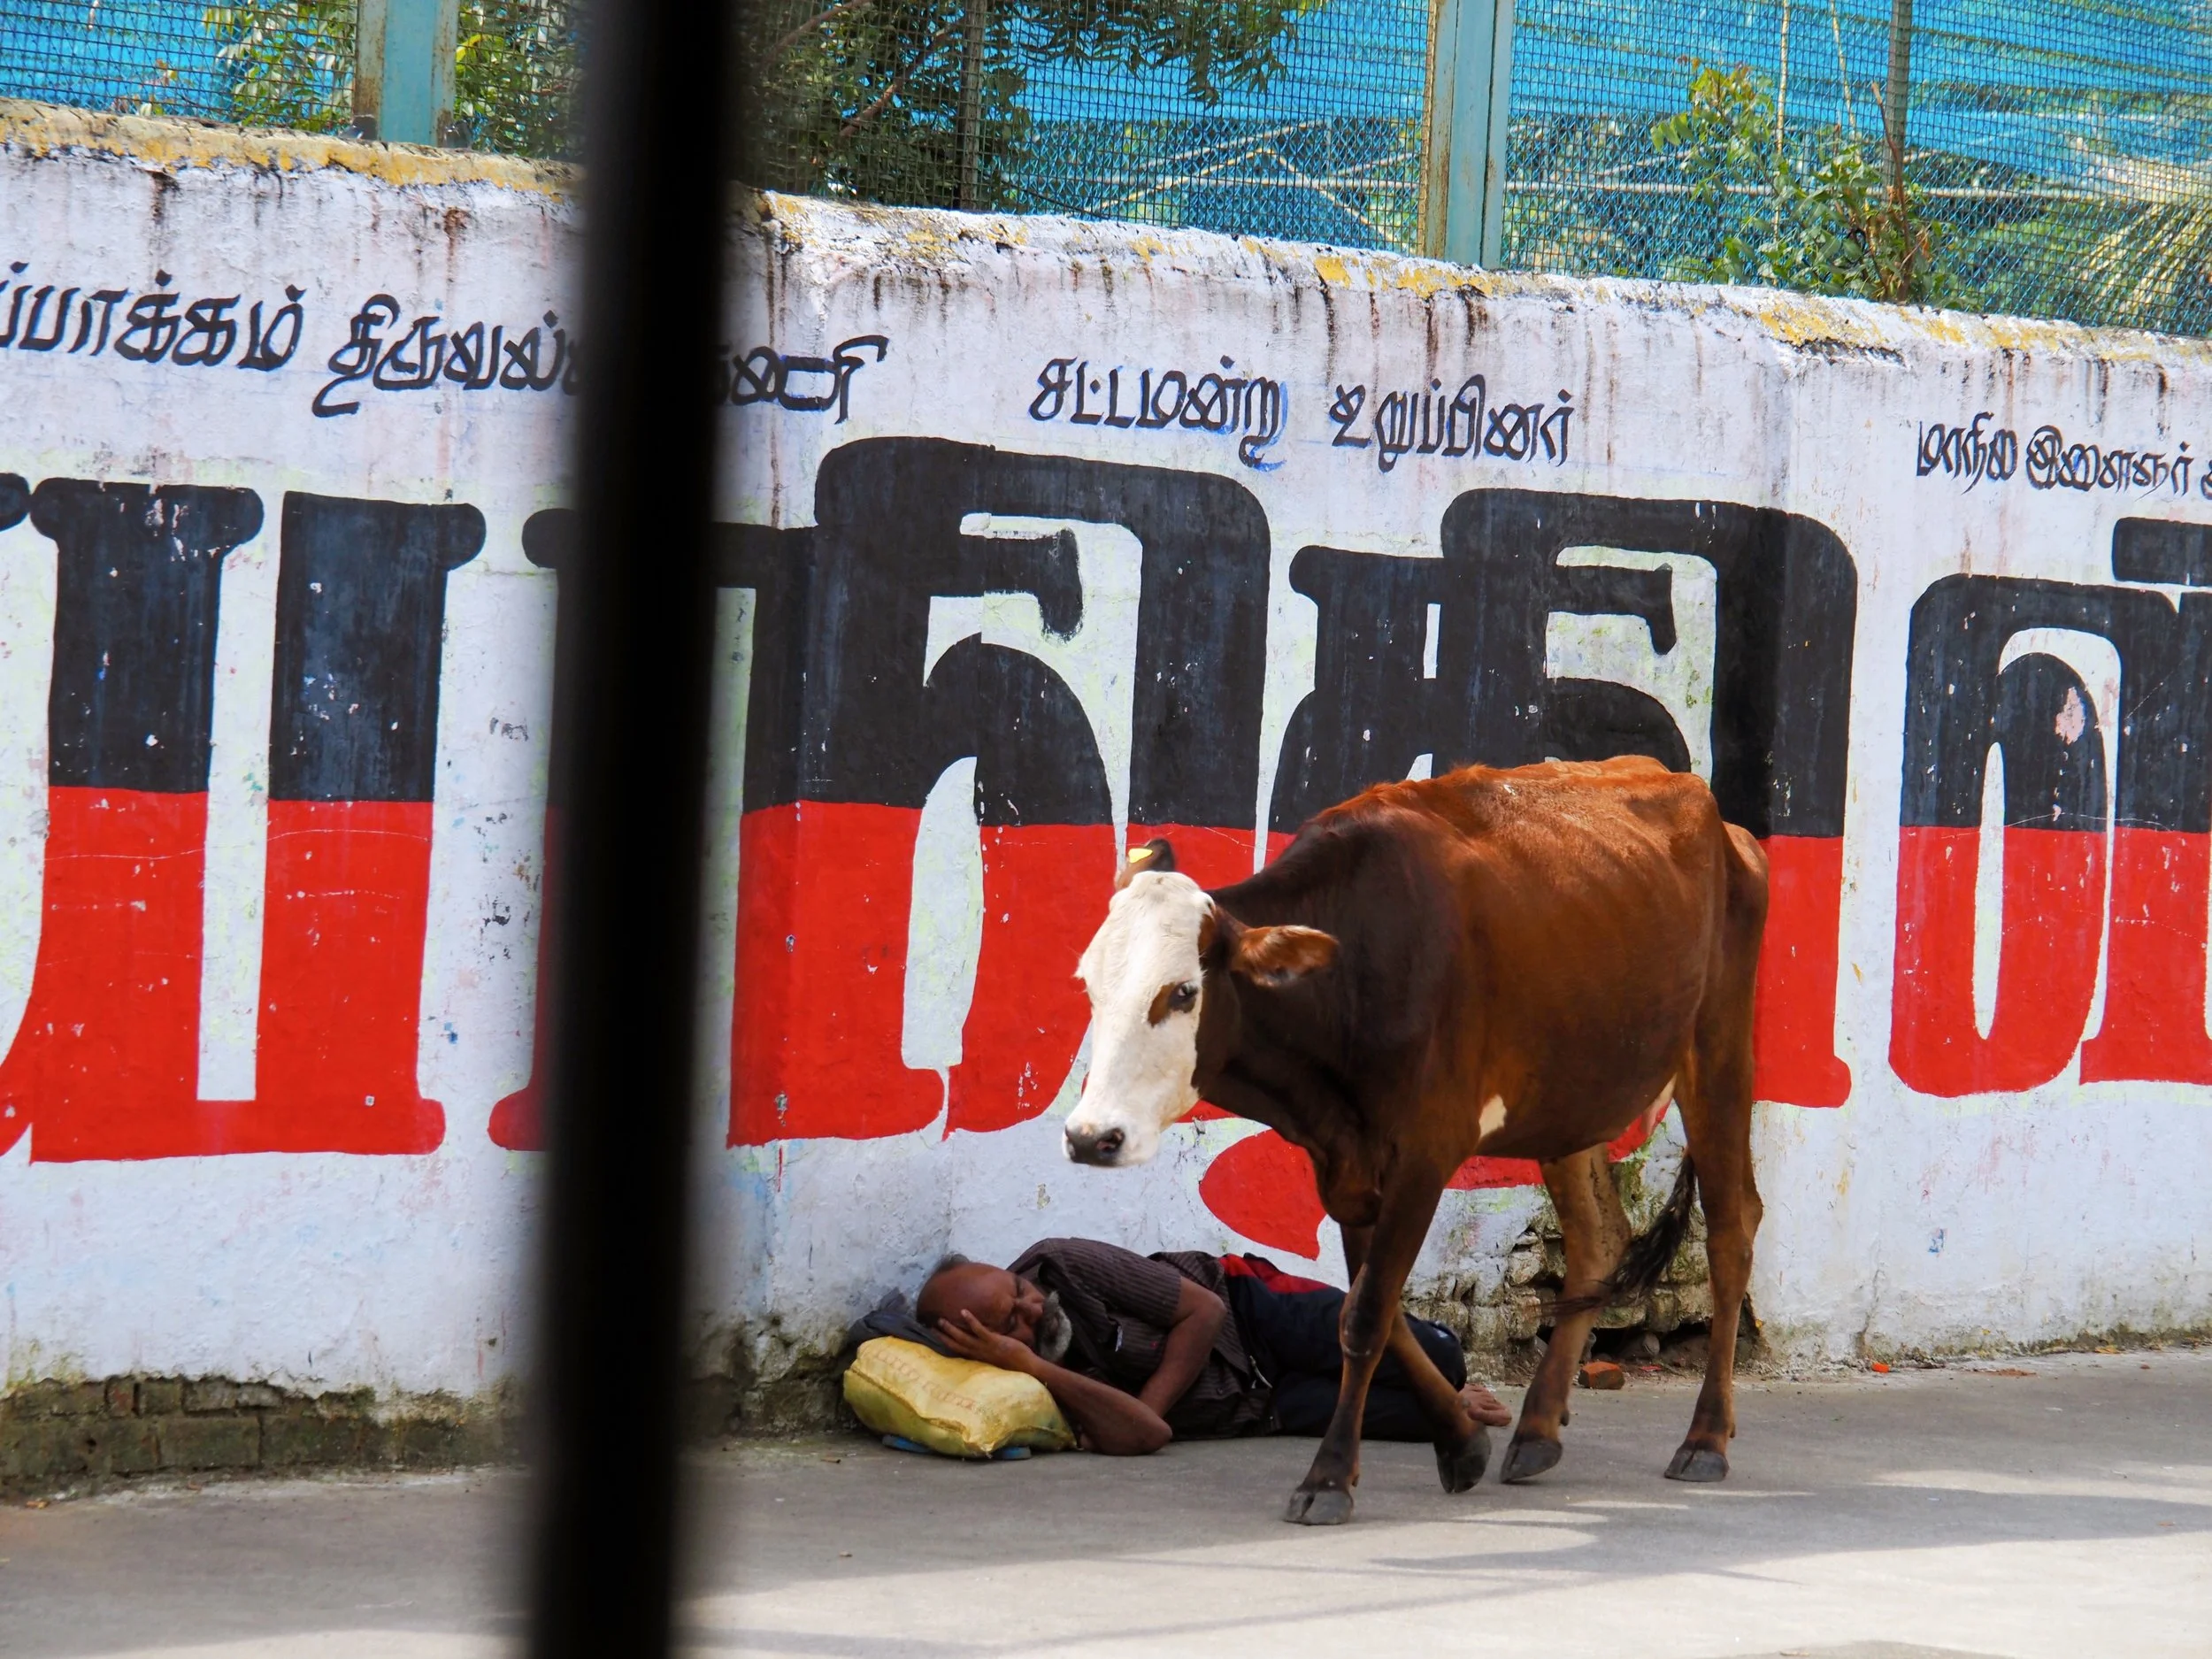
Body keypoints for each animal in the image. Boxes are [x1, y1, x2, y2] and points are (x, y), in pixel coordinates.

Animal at [1064, 755, 1768, 1525]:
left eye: (1183, 992)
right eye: (1090, 985)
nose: (1091, 1135)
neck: (1352, 974)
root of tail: (1720, 818)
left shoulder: (1426, 1151)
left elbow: (1367, 1314)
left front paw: (1329, 1476)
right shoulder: (1344, 1162)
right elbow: (1377, 1310)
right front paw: (1461, 1442)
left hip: (1717, 1054)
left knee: (1732, 1231)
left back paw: (1706, 1436)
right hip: (1572, 1093)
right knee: (1599, 1237)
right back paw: (1538, 1426)